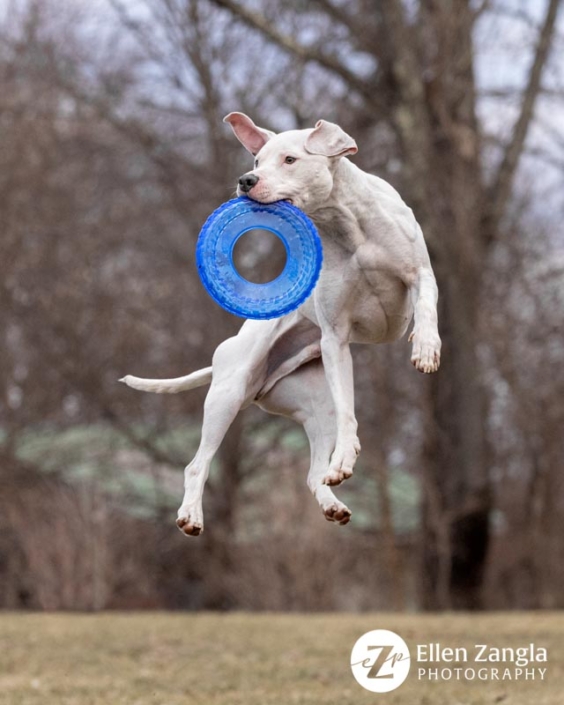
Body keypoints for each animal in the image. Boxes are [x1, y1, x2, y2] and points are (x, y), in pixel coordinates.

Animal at [122, 114, 440, 532]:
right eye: (257, 161)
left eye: (290, 159)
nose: (246, 180)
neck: (346, 224)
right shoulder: (335, 339)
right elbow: (348, 409)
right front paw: (345, 456)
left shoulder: (419, 274)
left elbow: (426, 304)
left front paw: (426, 347)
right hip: (229, 392)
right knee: (197, 464)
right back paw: (190, 514)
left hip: (315, 405)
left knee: (312, 473)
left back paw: (331, 503)